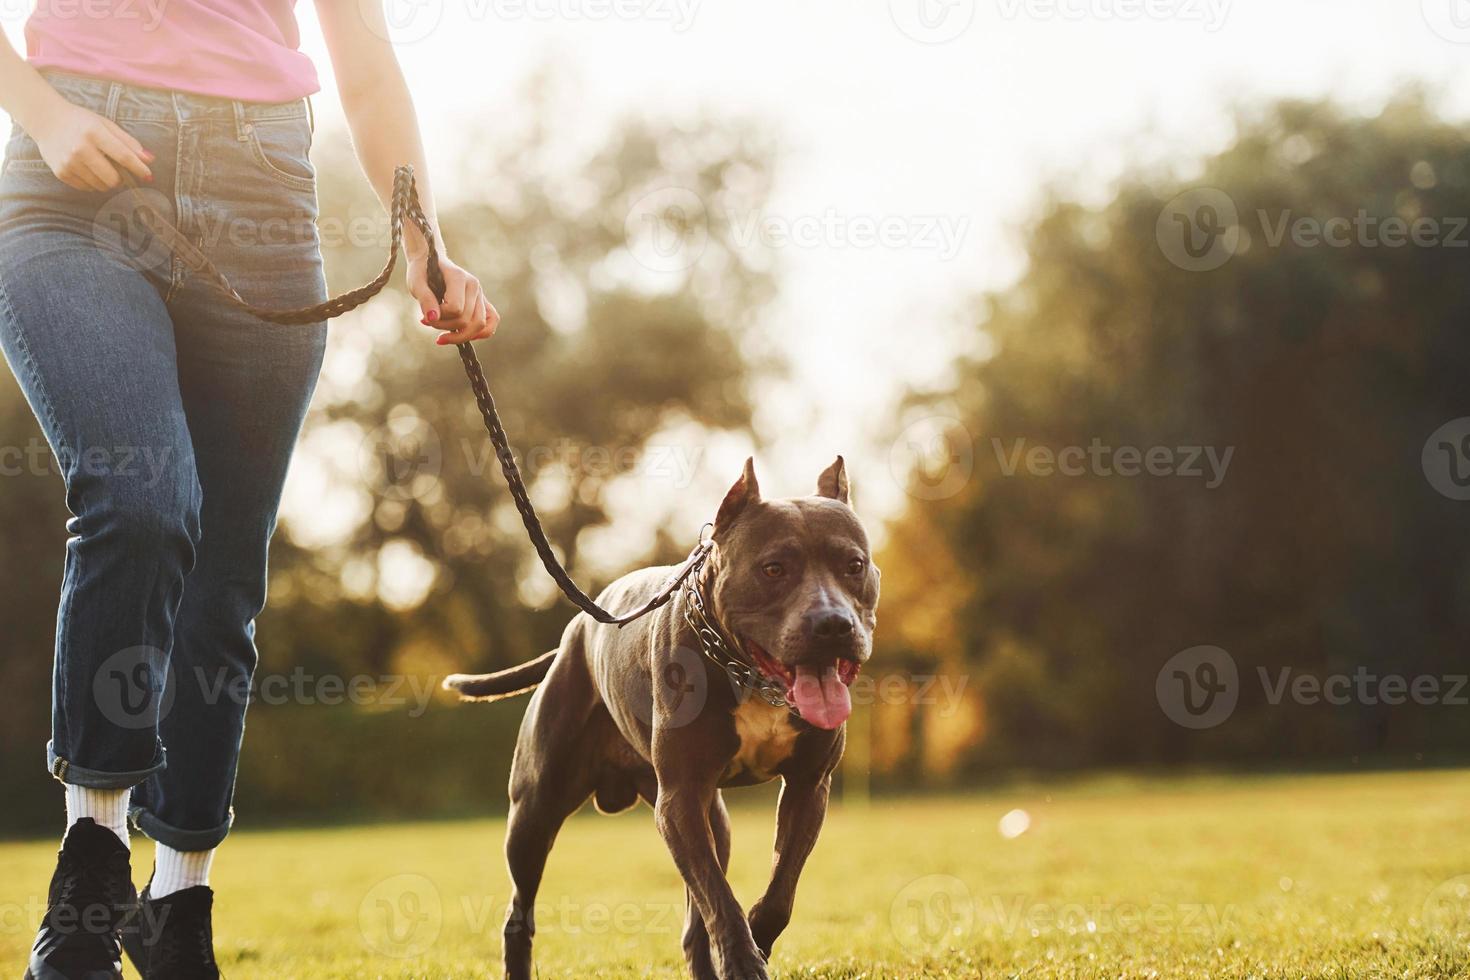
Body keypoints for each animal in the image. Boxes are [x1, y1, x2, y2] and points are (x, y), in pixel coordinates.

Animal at [441, 461, 876, 980]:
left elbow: (776, 892)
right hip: (533, 813)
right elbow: (719, 896)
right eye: (773, 568)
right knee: (519, 911)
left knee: (696, 921)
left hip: (712, 821)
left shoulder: (808, 787)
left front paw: (756, 940)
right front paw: (744, 959)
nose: (833, 625)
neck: (747, 674)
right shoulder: (681, 799)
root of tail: (575, 631)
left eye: (853, 565)